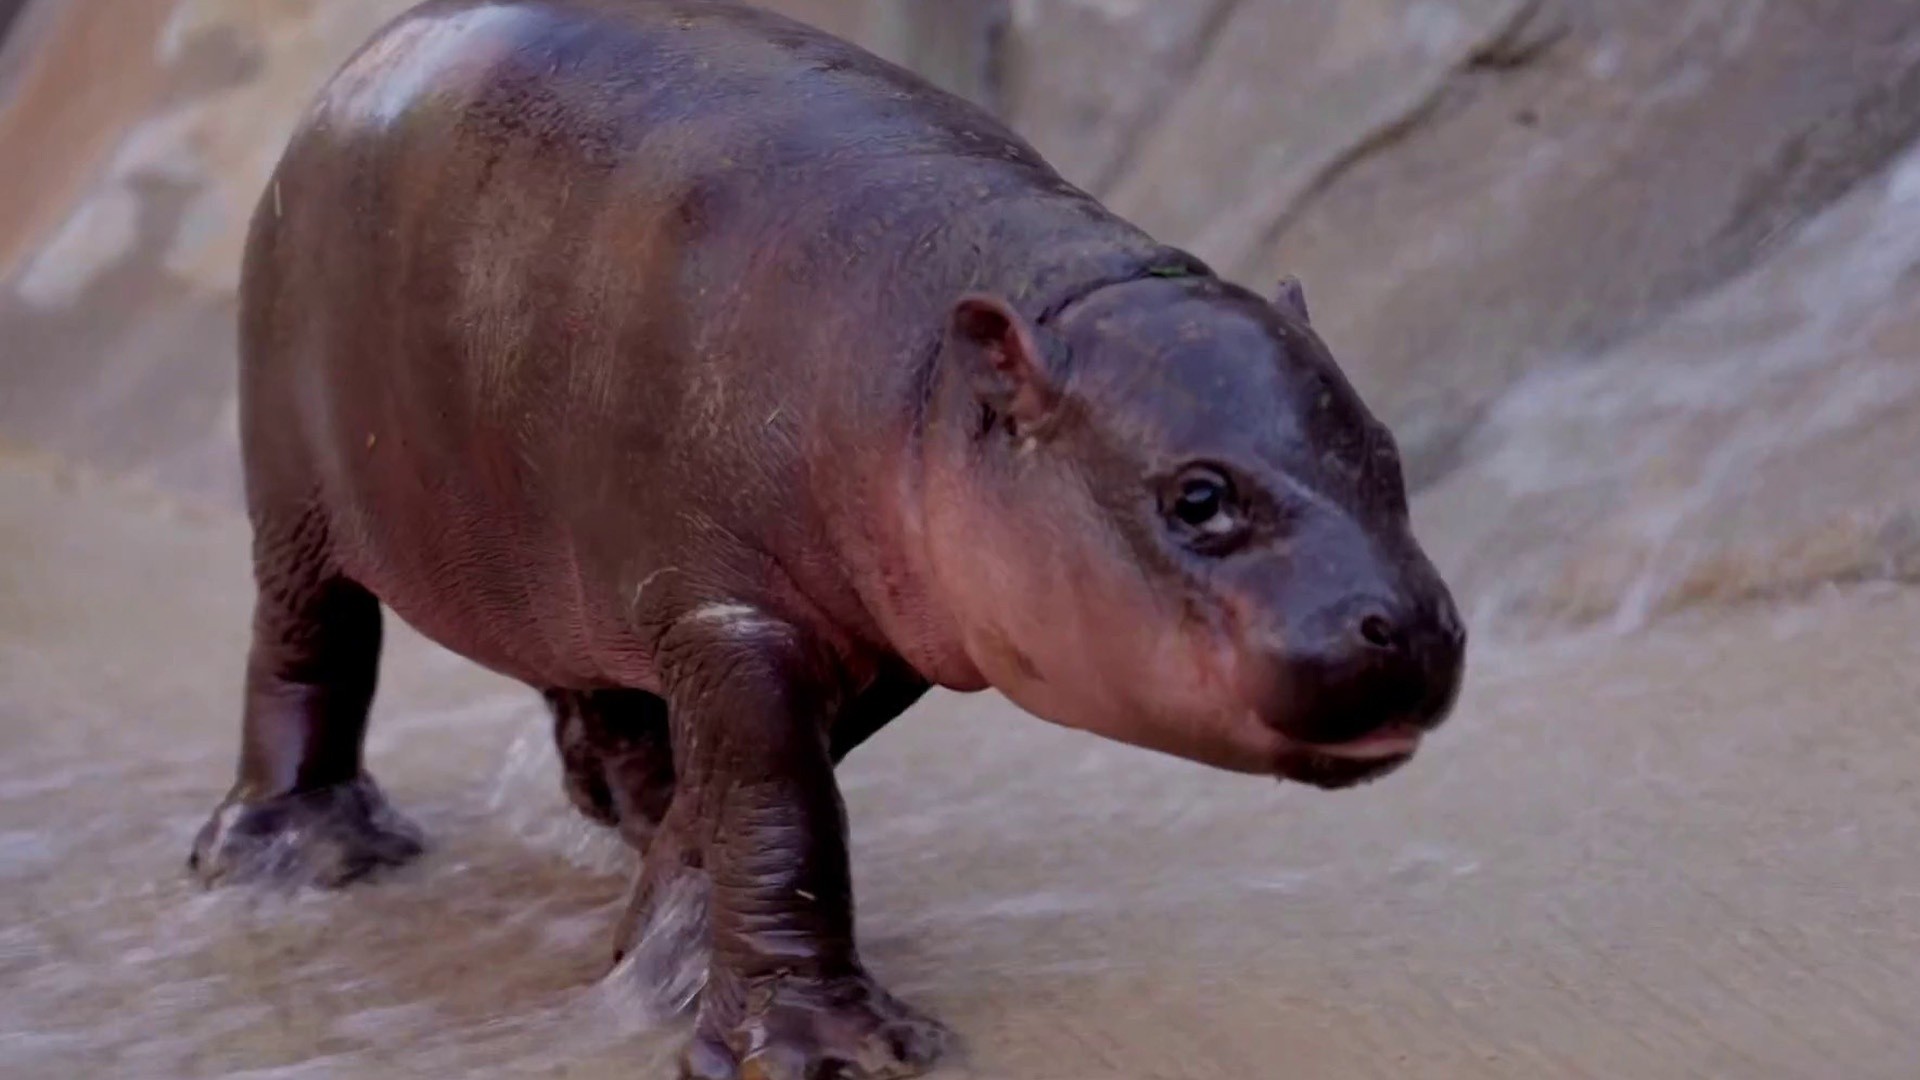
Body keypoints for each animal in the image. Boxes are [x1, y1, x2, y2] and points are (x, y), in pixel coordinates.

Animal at [188, 1, 1467, 1076]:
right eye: (1199, 497)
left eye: (1387, 451)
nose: (1406, 627)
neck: (942, 372)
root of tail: (350, 70)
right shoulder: (733, 618)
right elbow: (778, 814)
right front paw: (816, 1049)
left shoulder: (865, 635)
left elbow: (754, 803)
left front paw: (656, 947)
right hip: (295, 496)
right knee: (303, 652)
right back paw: (304, 857)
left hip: (558, 561)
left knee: (595, 703)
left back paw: (614, 819)